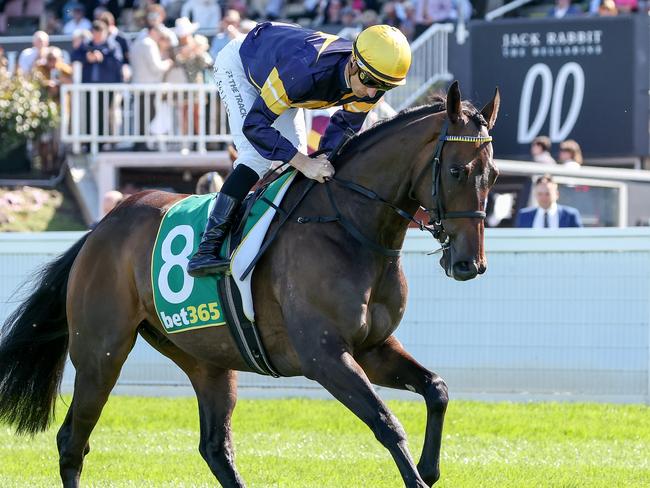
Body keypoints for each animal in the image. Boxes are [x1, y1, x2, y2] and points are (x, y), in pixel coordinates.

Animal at [0, 82, 498, 486]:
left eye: (491, 176)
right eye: (457, 171)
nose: (468, 263)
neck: (349, 226)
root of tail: (100, 228)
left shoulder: (372, 348)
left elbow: (437, 389)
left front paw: (431, 468)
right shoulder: (324, 355)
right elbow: (387, 423)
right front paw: (419, 473)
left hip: (208, 358)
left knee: (215, 447)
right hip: (100, 352)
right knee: (72, 439)